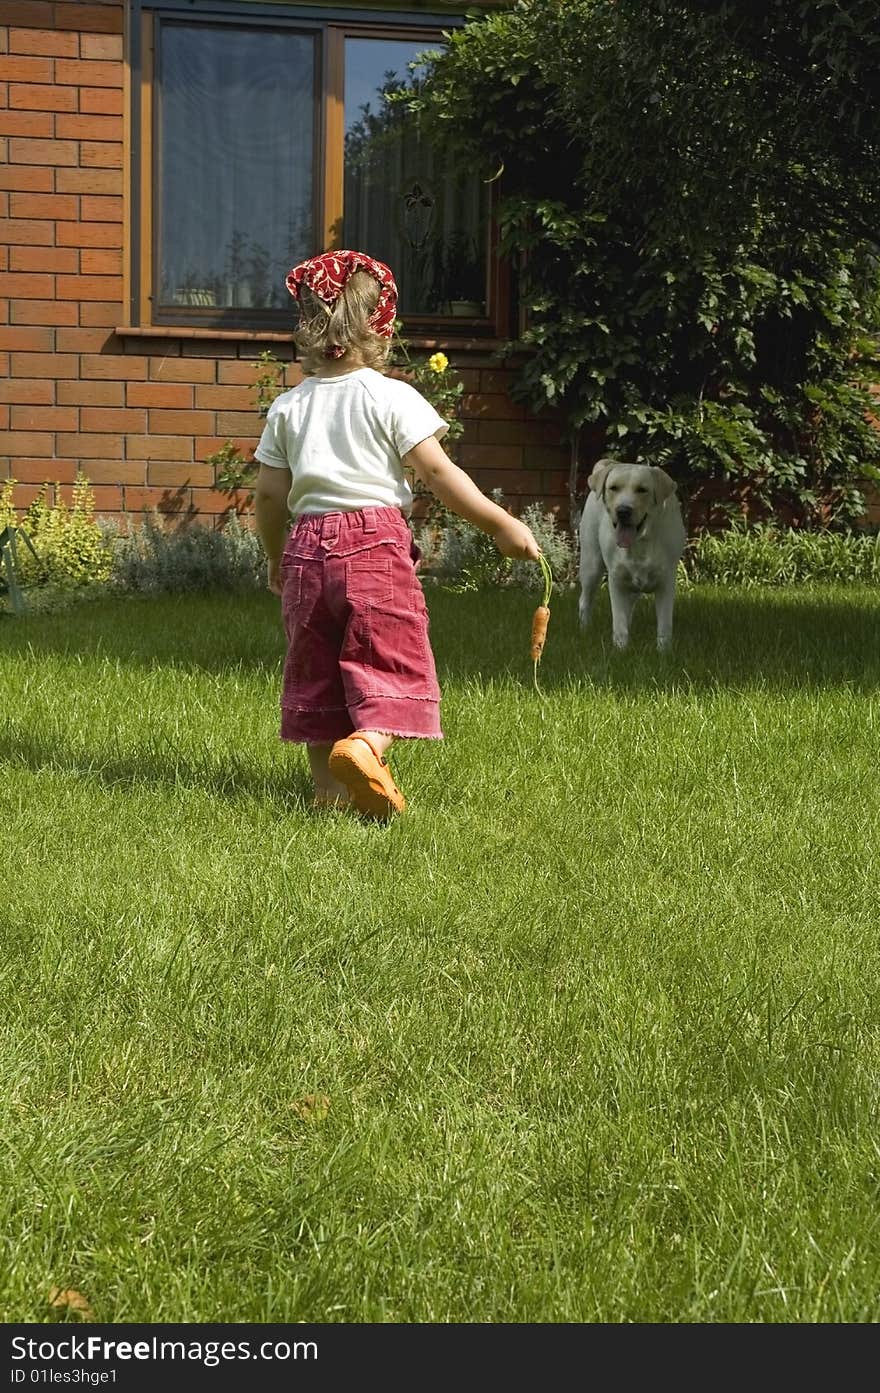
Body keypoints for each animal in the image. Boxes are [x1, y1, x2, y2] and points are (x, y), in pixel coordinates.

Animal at [576, 456, 687, 651]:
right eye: (613, 488)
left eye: (642, 490)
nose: (623, 511)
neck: (641, 541)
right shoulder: (617, 581)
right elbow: (619, 622)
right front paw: (620, 650)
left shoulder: (666, 582)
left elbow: (665, 625)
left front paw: (664, 652)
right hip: (591, 564)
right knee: (585, 601)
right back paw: (585, 631)